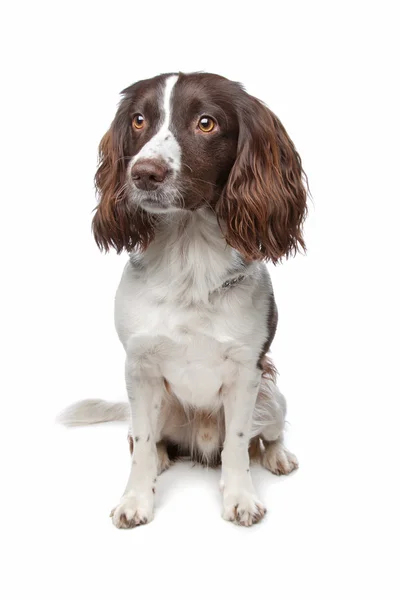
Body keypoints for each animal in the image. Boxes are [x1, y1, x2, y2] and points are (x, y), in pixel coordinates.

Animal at [59, 72, 308, 528]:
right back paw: (161, 457)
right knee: (143, 439)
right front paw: (136, 499)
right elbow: (141, 443)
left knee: (268, 434)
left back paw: (278, 456)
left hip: (272, 397)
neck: (189, 257)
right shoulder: (139, 367)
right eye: (139, 120)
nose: (143, 173)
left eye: (206, 122)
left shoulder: (247, 371)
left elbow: (238, 444)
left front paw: (241, 498)